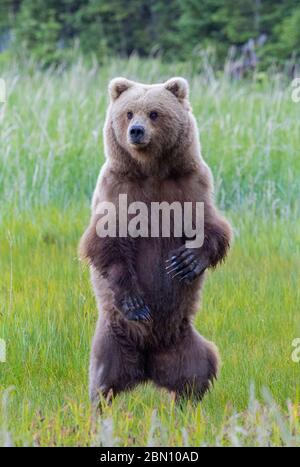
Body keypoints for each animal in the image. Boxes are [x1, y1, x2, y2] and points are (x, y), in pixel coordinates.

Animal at [79, 76, 232, 402]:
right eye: (128, 113)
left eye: (154, 113)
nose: (136, 131)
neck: (151, 170)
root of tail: (147, 365)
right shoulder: (118, 186)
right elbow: (106, 240)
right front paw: (136, 301)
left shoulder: (190, 182)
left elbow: (211, 226)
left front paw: (186, 261)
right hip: (114, 334)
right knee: (102, 374)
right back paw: (100, 404)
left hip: (182, 338)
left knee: (199, 366)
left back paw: (188, 402)